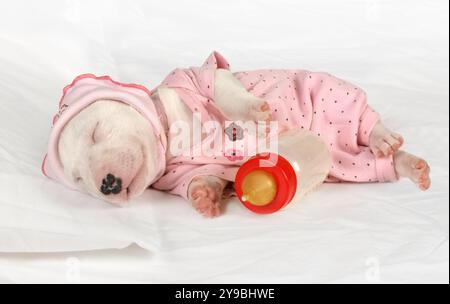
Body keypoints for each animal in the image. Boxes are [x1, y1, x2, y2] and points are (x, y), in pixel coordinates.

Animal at [46, 52, 432, 218]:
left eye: (96, 133)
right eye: (78, 179)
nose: (107, 184)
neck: (168, 131)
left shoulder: (198, 75)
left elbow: (223, 88)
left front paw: (256, 114)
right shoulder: (179, 173)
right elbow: (203, 178)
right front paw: (203, 196)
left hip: (331, 93)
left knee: (365, 118)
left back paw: (382, 136)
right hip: (348, 163)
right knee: (374, 163)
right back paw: (409, 166)